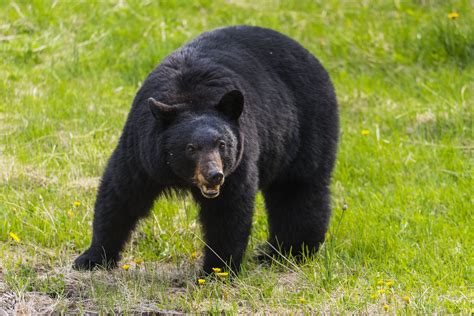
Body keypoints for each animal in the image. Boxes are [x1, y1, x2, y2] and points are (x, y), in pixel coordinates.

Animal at [72, 25, 338, 276]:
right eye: (190, 148)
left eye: (222, 144)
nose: (214, 175)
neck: (190, 97)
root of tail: (310, 56)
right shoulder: (141, 150)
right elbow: (121, 195)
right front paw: (91, 258)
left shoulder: (240, 159)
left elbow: (227, 212)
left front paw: (217, 270)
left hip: (306, 129)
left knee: (298, 191)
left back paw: (288, 253)